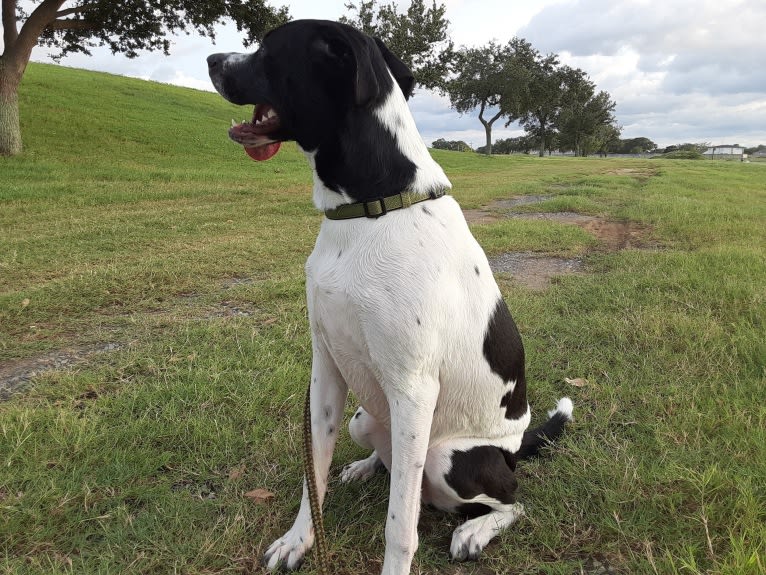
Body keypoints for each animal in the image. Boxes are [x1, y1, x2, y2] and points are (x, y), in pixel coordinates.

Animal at [207, 20, 572, 575]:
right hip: (364, 419)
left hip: (449, 458)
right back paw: (365, 466)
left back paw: (476, 529)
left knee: (511, 500)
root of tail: (512, 450)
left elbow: (400, 526)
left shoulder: (413, 390)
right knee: (392, 463)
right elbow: (313, 472)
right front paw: (299, 539)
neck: (369, 209)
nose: (209, 60)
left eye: (268, 48)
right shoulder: (326, 369)